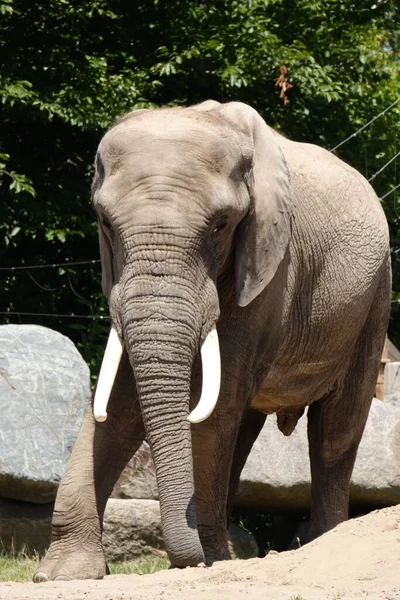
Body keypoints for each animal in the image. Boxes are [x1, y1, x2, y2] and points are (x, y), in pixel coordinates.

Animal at [33, 99, 390, 580]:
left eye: (222, 225)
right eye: (105, 222)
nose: (186, 560)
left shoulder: (268, 268)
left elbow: (211, 402)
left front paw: (204, 562)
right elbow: (122, 401)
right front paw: (61, 575)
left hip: (374, 299)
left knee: (336, 429)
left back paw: (320, 543)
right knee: (243, 429)